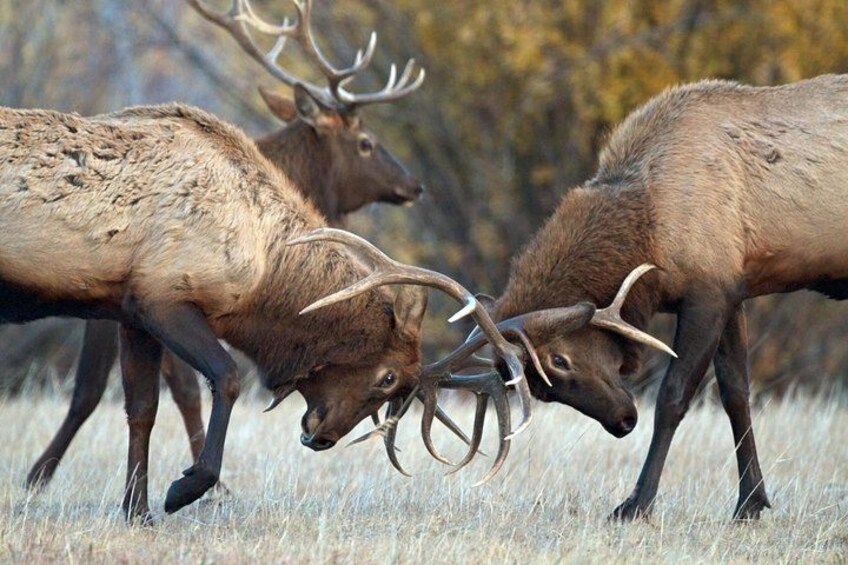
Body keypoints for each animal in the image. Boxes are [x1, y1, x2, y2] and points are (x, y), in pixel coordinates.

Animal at [0, 0, 505, 522]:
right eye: (388, 377)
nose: (322, 437)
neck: (263, 274)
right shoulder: (160, 295)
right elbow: (223, 378)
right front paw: (187, 487)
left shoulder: (127, 310)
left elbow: (141, 408)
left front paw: (137, 511)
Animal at [288, 74, 848, 520]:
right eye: (541, 387)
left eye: (559, 360)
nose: (623, 421)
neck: (649, 226)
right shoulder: (734, 285)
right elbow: (736, 392)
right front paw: (752, 503)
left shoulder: (710, 287)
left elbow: (674, 396)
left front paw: (636, 504)